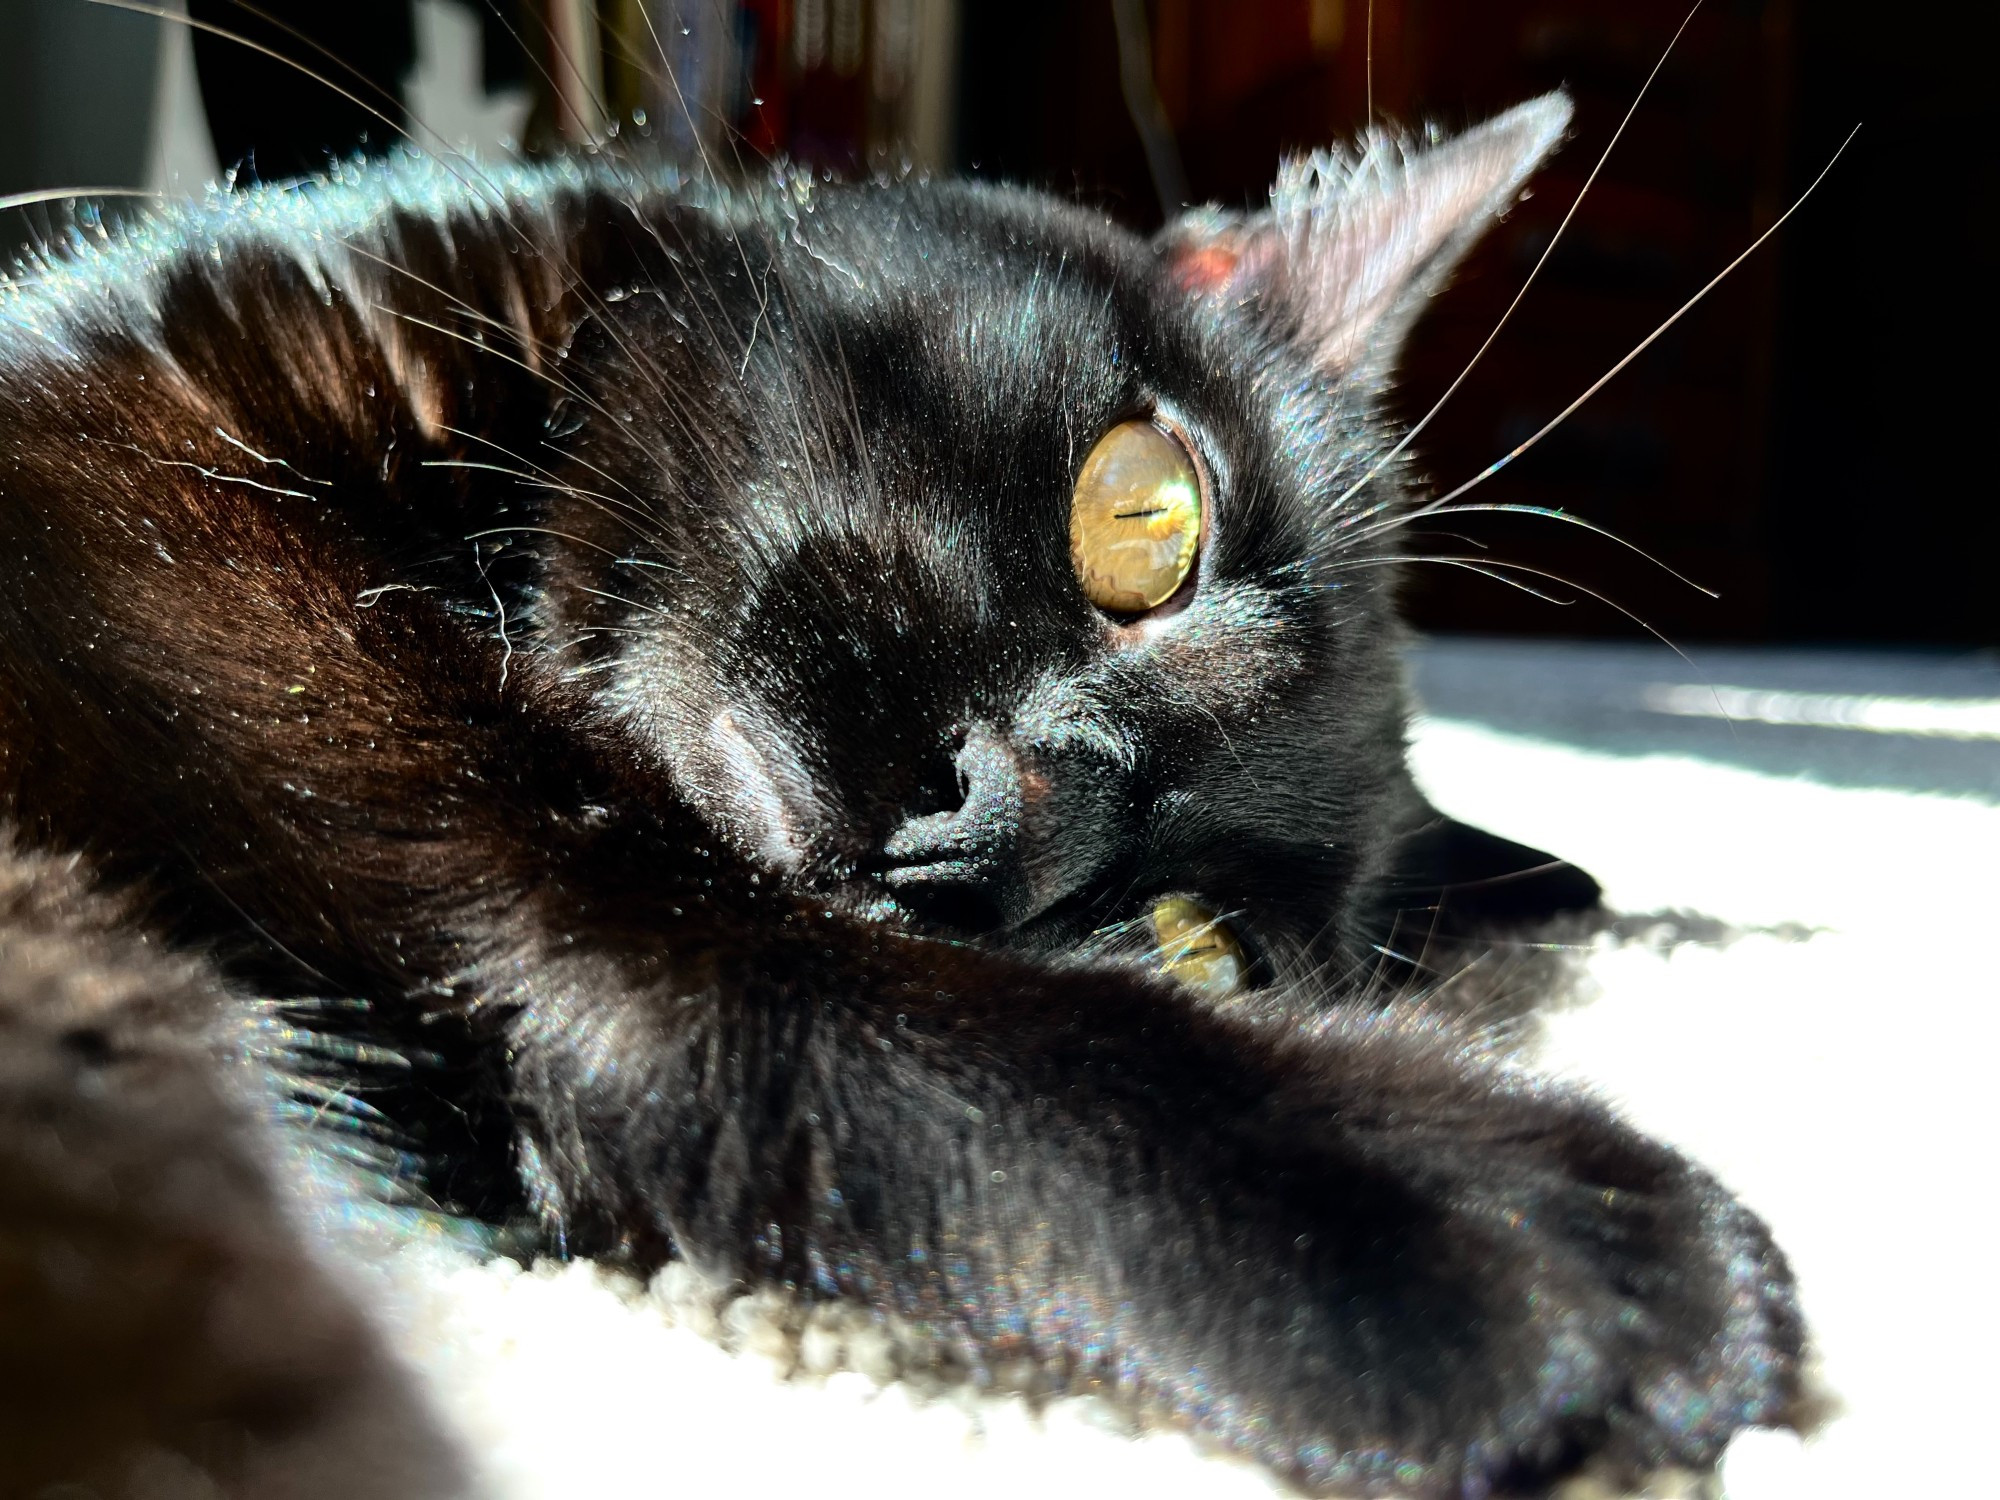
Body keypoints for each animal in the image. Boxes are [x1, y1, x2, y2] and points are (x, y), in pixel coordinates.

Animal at [0, 97, 1800, 1500]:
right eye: (1148, 519)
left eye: (1204, 940)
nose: (1002, 820)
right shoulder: (200, 559)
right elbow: (653, 901)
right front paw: (1490, 1222)